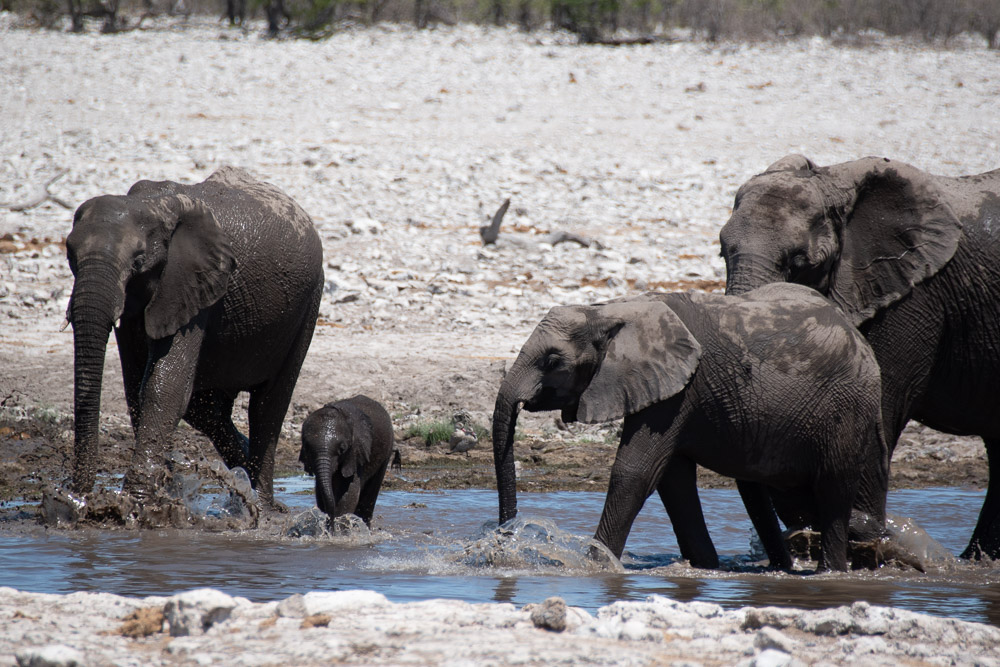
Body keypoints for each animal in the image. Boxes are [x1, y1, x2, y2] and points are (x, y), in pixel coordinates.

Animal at [65, 168, 324, 512]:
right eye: (70, 254)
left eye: (138, 261)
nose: (78, 496)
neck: (147, 205)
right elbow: (136, 387)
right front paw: (162, 496)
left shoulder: (193, 282)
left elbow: (164, 385)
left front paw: (133, 505)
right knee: (207, 410)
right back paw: (243, 480)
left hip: (309, 303)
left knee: (268, 406)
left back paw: (266, 506)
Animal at [296, 394, 394, 524]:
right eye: (307, 447)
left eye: (342, 449)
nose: (329, 523)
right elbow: (320, 492)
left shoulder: (356, 452)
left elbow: (349, 492)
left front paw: (339, 524)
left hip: (387, 451)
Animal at [488, 284, 888, 572]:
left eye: (553, 360)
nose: (503, 545)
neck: (611, 310)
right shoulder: (668, 388)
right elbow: (673, 480)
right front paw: (705, 566)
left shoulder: (679, 389)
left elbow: (636, 472)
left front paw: (596, 565)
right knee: (757, 490)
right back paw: (782, 568)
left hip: (849, 409)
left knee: (833, 491)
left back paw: (830, 572)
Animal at [720, 154, 1000, 560]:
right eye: (722, 251)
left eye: (800, 261)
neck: (833, 182)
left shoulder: (913, 294)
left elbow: (875, 399)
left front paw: (859, 533)